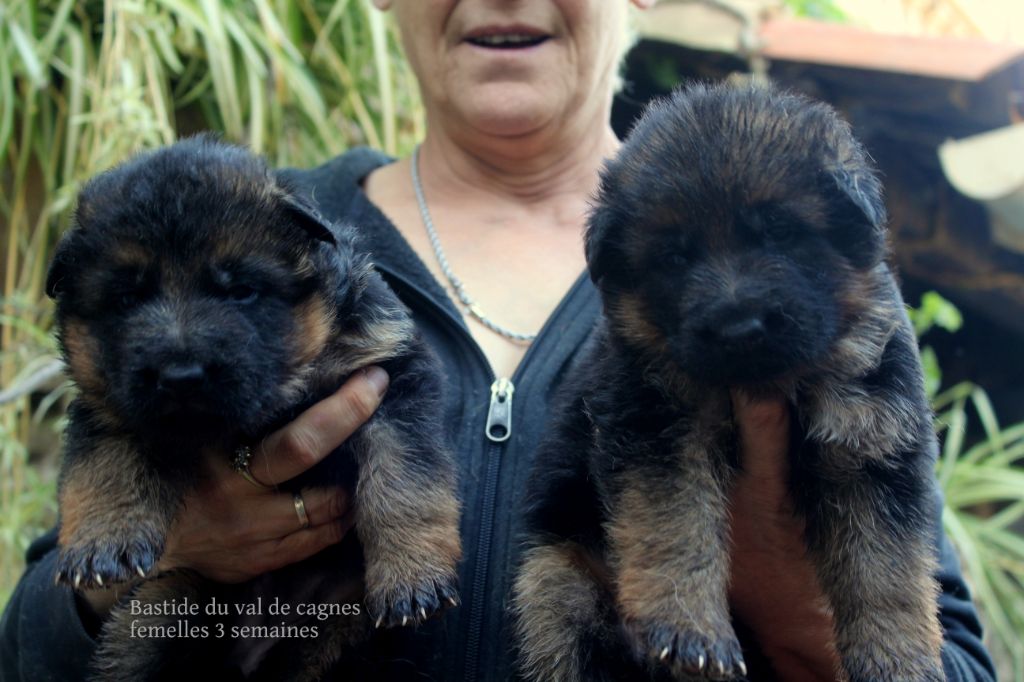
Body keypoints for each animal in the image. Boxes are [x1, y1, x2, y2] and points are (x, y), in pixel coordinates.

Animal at [47, 137, 460, 679]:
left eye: (241, 290)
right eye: (125, 299)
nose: (180, 377)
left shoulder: (390, 374)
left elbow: (402, 479)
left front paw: (412, 575)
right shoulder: (110, 401)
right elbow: (108, 461)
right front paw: (102, 541)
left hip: (335, 630)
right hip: (164, 601)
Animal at [512, 83, 942, 679]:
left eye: (780, 231)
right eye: (674, 256)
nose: (740, 328)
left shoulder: (873, 446)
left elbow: (888, 569)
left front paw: (898, 659)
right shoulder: (657, 426)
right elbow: (674, 521)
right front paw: (688, 628)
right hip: (557, 582)